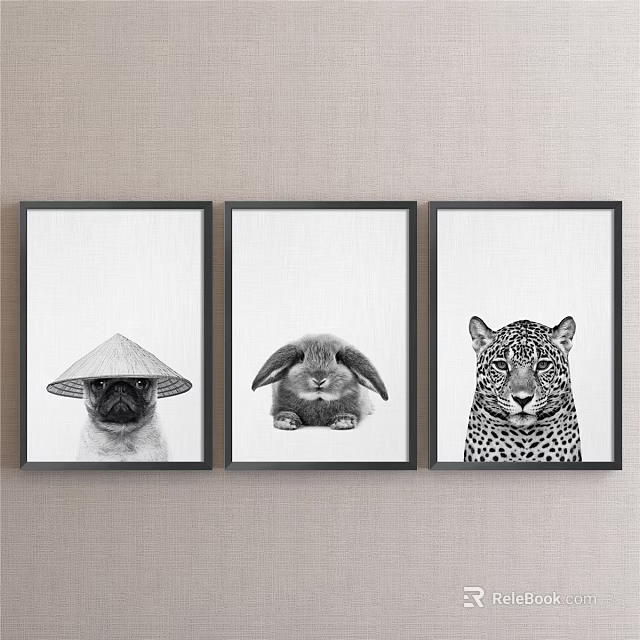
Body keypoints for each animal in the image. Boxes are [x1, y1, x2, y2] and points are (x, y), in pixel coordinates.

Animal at [251, 334, 388, 430]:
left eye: (338, 358)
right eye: (301, 357)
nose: (319, 380)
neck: (318, 400)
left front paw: (343, 422)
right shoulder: (280, 406)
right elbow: (284, 412)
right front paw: (286, 422)